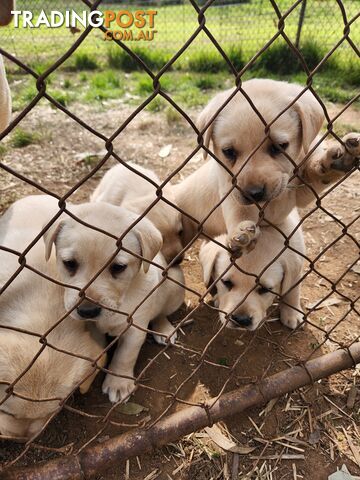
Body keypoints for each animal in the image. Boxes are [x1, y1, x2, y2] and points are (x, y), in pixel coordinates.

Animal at [173, 79, 358, 251]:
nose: (254, 193)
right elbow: (239, 210)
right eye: (229, 152)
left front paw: (333, 163)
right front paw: (240, 233)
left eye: (279, 146)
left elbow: (315, 174)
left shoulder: (301, 193)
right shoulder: (229, 186)